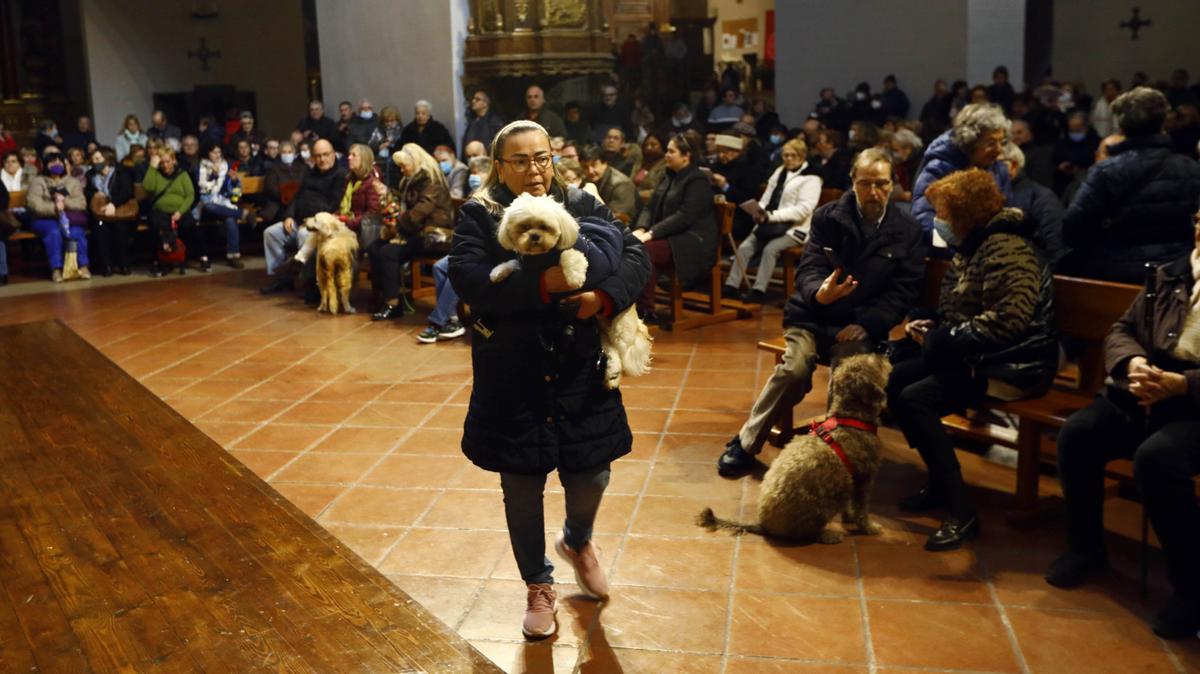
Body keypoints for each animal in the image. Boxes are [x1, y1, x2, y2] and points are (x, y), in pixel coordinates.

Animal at [489, 190, 652, 388]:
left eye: (545, 227)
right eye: (524, 227)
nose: (534, 236)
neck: (542, 257)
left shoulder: (573, 251)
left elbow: (569, 255)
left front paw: (574, 277)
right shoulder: (525, 264)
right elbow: (511, 263)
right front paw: (498, 272)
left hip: (620, 328)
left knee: (624, 348)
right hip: (601, 328)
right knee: (611, 350)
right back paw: (612, 375)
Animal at [696, 354, 892, 542]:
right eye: (875, 361)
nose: (886, 353)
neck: (849, 417)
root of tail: (764, 525)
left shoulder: (850, 481)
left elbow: (849, 506)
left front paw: (849, 517)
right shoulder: (864, 480)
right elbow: (861, 511)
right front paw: (869, 528)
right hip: (821, 505)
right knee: (805, 535)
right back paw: (828, 535)